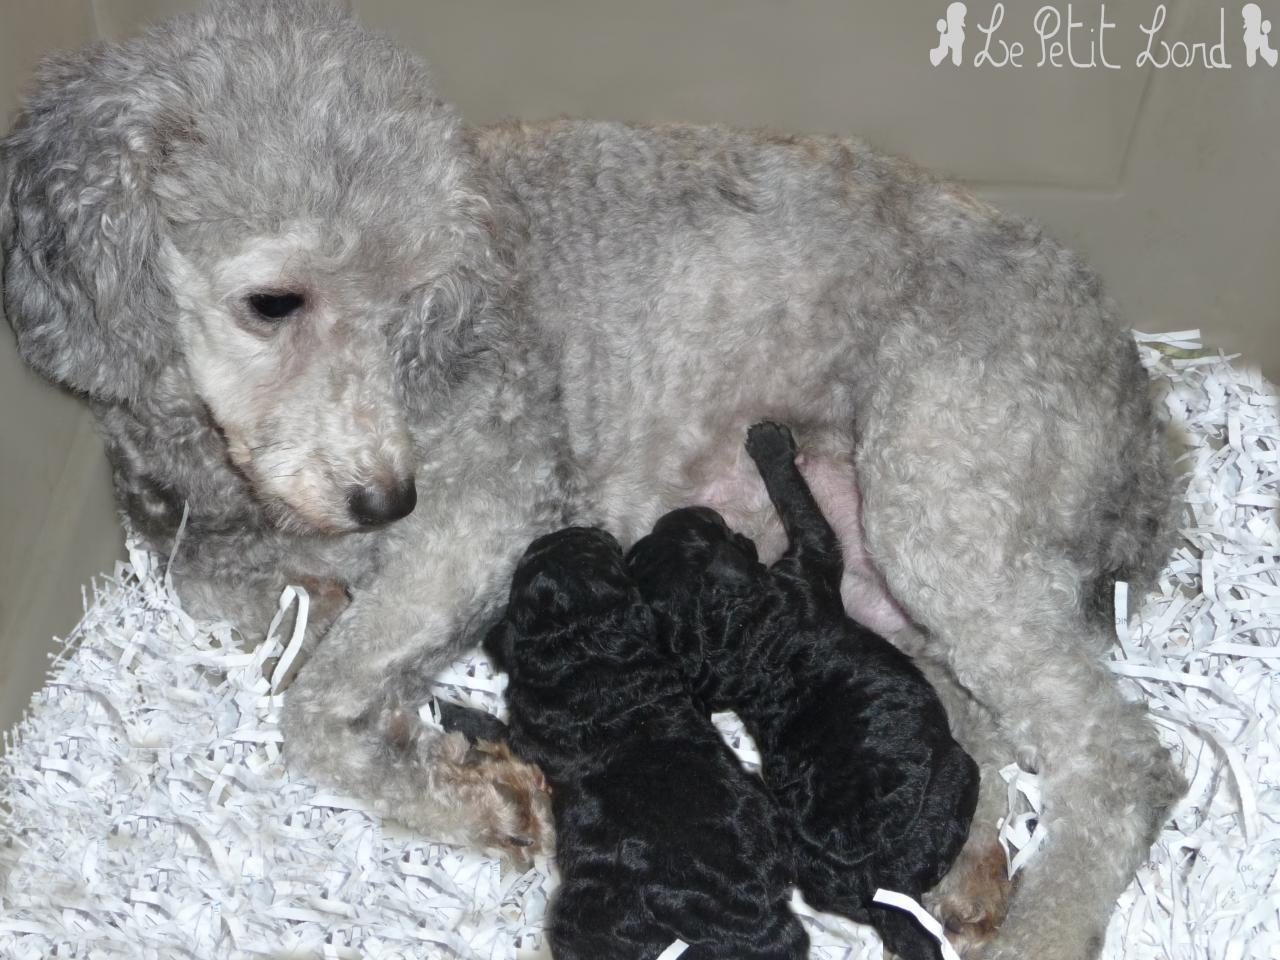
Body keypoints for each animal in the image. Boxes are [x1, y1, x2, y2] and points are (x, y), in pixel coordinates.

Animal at [629, 424, 977, 960]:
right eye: (710, 523)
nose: (686, 512)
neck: (742, 630)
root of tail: (878, 882)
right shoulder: (811, 557)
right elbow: (799, 502)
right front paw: (770, 444)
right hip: (958, 774)